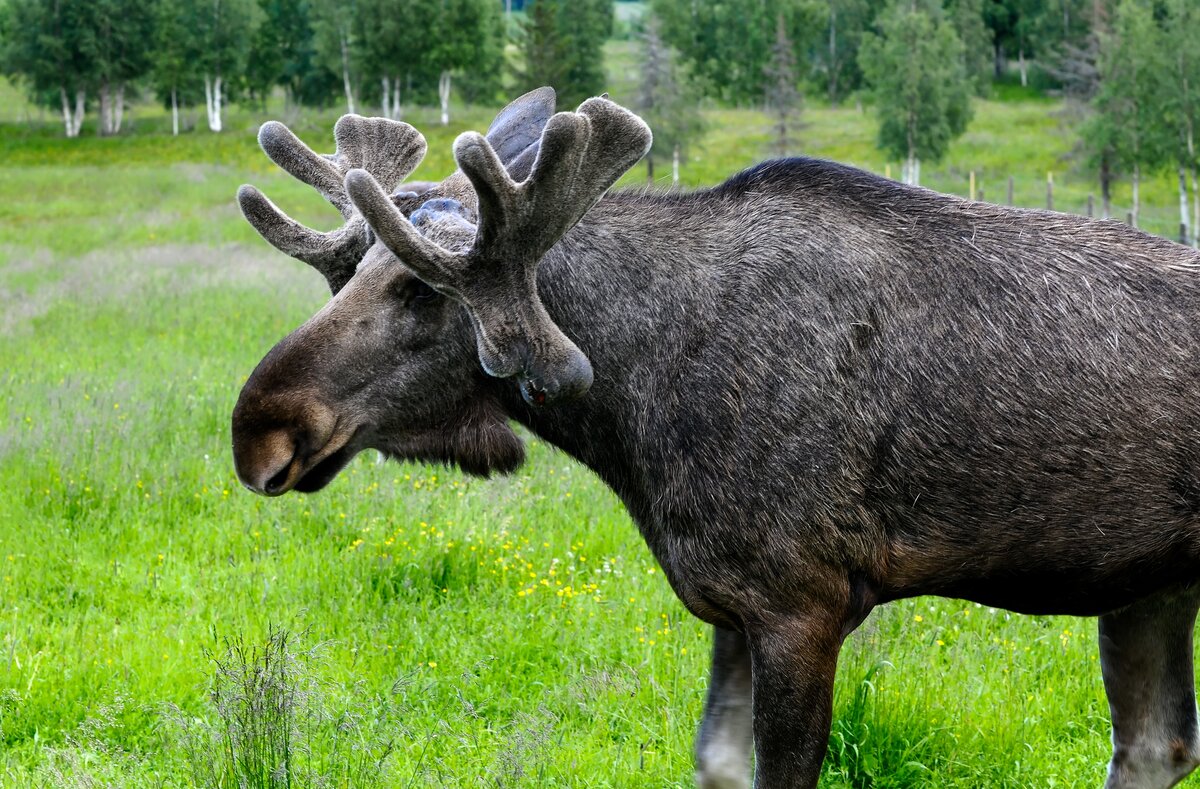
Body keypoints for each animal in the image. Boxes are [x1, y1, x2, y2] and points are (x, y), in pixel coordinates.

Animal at [229, 89, 1200, 786]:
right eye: (354, 271)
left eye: (424, 292)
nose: (259, 429)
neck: (634, 410)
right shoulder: (734, 603)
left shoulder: (802, 602)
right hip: (1147, 589)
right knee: (1154, 748)